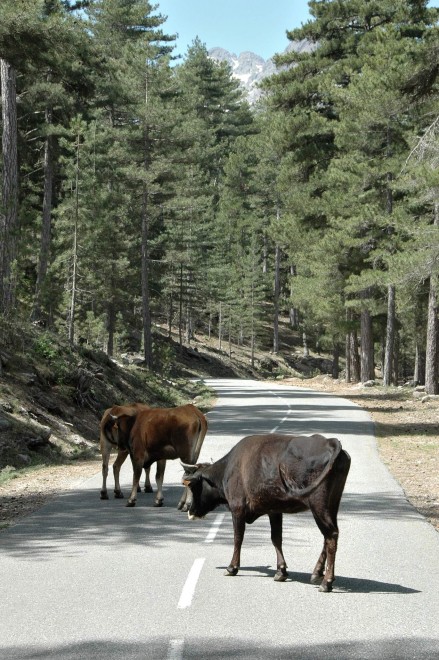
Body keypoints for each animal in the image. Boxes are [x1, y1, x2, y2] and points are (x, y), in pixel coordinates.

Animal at [182, 434, 350, 592]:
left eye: (192, 486)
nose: (188, 509)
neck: (227, 469)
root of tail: (329, 441)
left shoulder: (237, 509)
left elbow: (238, 538)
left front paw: (232, 567)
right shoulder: (274, 511)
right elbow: (276, 538)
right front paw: (281, 571)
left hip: (318, 505)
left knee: (331, 536)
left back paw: (326, 582)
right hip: (332, 504)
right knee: (328, 536)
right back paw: (316, 573)